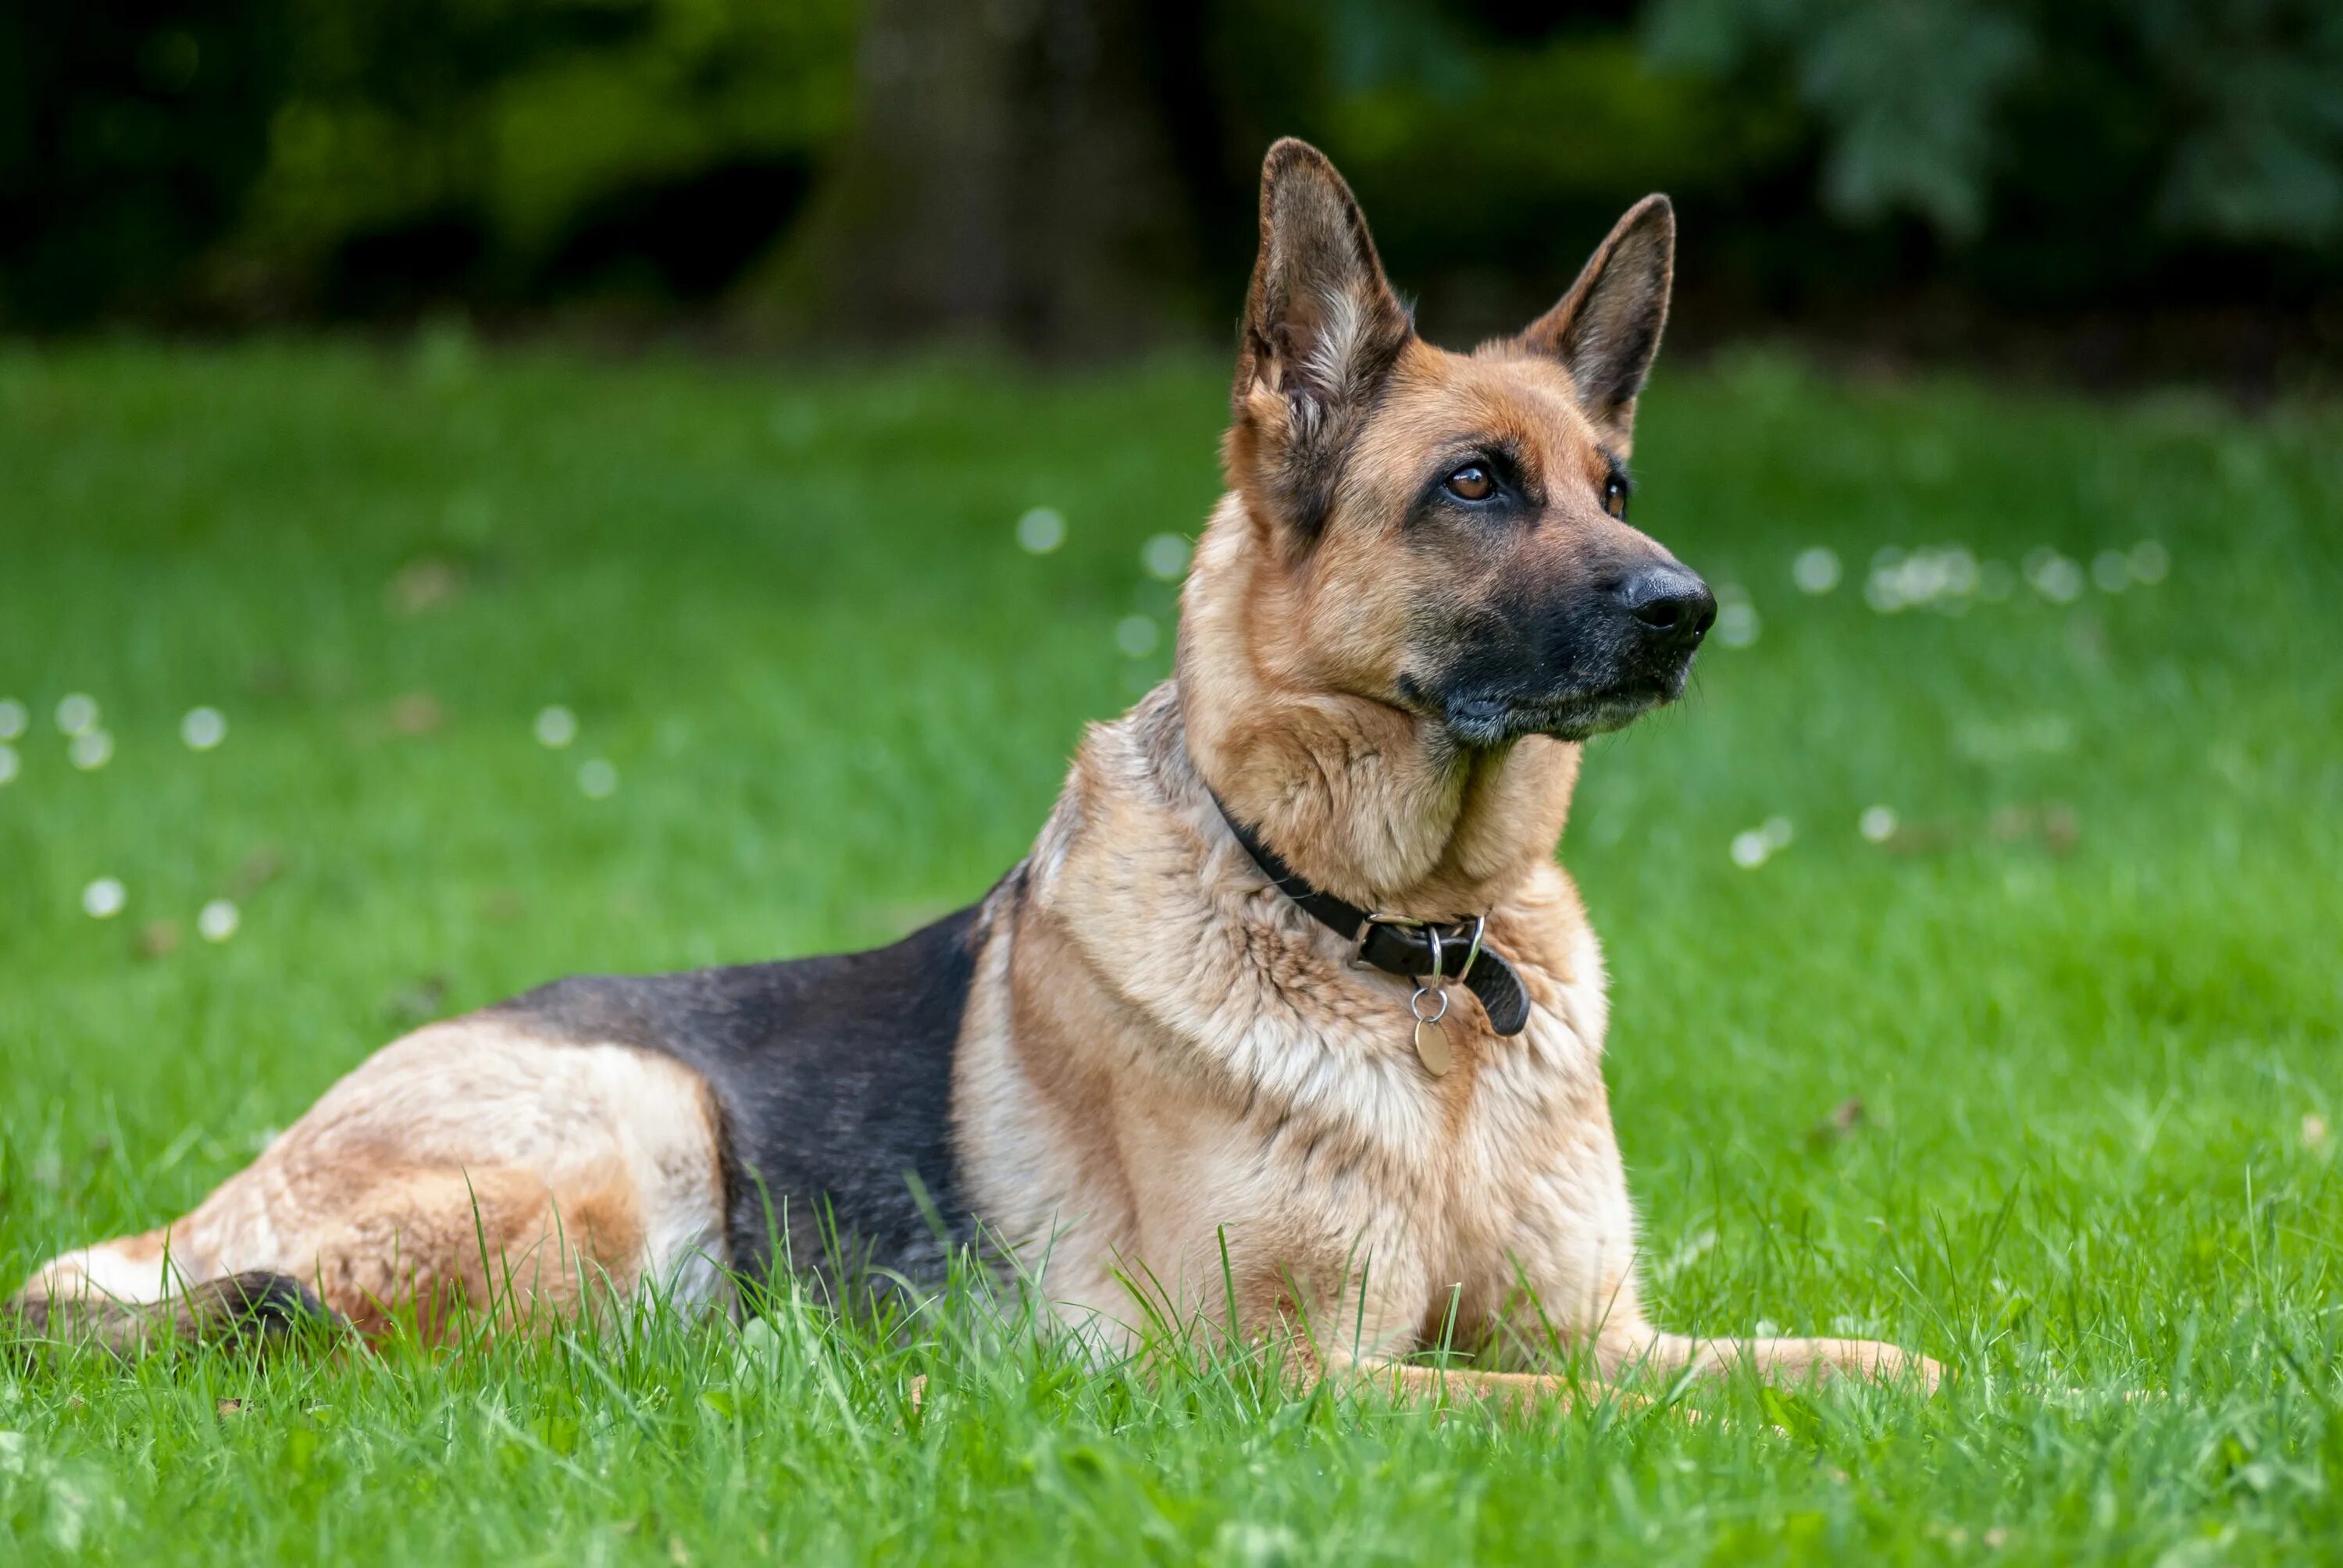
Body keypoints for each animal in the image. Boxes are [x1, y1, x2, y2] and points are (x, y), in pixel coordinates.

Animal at [13, 143, 1940, 1396]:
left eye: (1612, 487)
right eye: (1476, 485)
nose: (1690, 610)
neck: (1416, 956)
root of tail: (187, 1217)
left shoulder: (1605, 1321)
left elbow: (1859, 1367)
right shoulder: (1280, 1380)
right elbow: (1560, 1414)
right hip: (629, 1133)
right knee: (359, 1336)